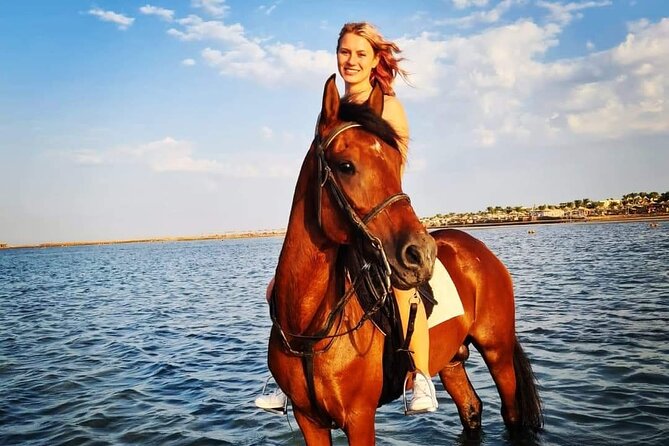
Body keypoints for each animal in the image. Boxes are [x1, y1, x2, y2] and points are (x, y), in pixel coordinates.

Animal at [267, 74, 543, 445]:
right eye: (346, 166)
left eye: (397, 164)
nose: (422, 254)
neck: (308, 328)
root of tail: (479, 249)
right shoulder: (308, 419)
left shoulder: (359, 419)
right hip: (452, 360)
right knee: (471, 408)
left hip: (497, 352)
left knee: (511, 414)